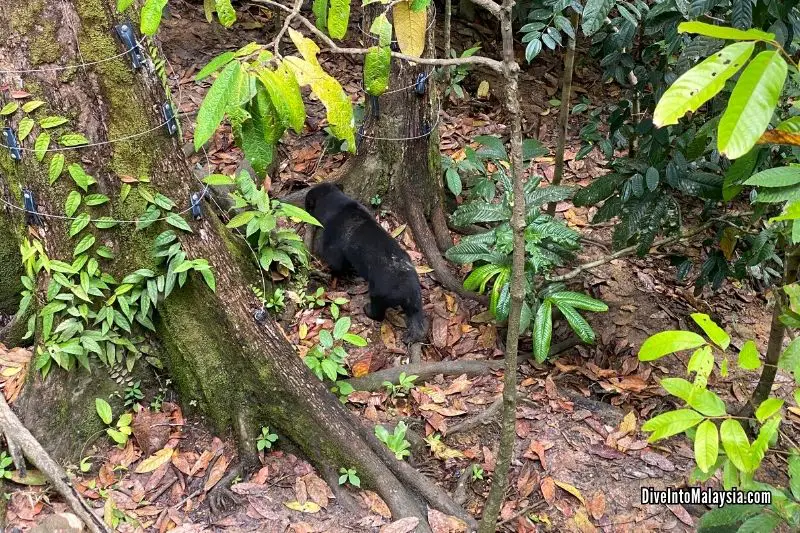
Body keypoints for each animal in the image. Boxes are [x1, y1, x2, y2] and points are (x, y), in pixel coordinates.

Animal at [304, 183, 426, 343]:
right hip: (415, 301)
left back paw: (367, 309)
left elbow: (335, 263)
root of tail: (408, 288)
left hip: (378, 294)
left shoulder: (332, 245)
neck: (338, 206)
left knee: (378, 312)